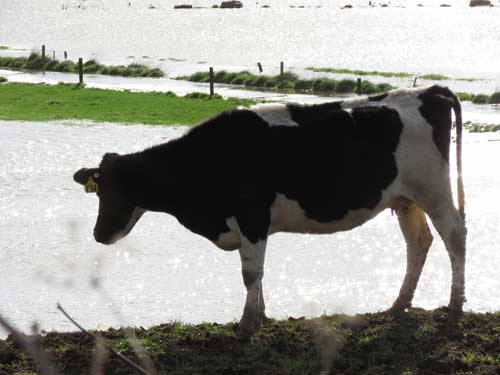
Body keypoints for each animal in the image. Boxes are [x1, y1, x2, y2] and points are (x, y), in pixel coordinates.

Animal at [75, 85, 468, 338]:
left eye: (116, 191)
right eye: (98, 190)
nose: (98, 234)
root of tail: (429, 90)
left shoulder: (252, 217)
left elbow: (250, 273)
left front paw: (247, 326)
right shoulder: (251, 226)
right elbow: (258, 273)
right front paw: (261, 316)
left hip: (434, 190)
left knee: (455, 235)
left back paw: (455, 304)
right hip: (405, 199)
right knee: (419, 242)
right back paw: (399, 304)